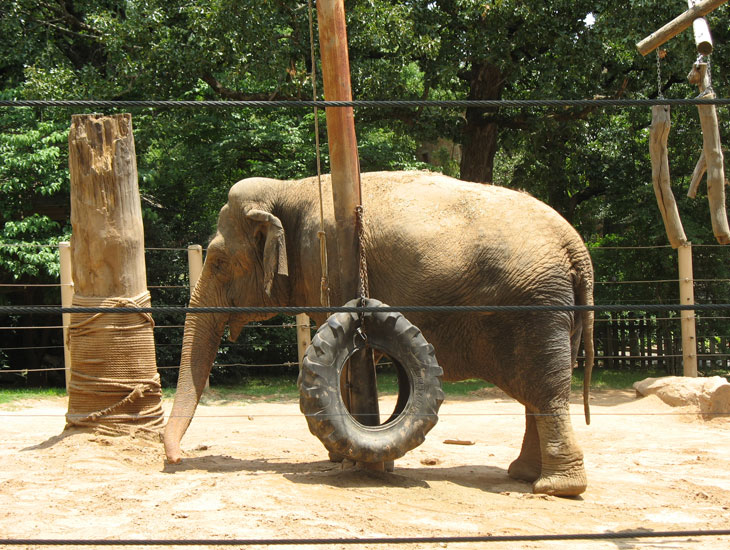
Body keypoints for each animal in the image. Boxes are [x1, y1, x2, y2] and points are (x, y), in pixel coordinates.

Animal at [164, 170, 592, 498]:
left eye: (219, 262)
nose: (175, 459)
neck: (289, 188)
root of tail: (575, 245)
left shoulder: (328, 257)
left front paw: (349, 460)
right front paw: (347, 458)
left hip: (535, 306)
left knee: (544, 389)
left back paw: (554, 488)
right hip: (554, 310)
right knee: (539, 389)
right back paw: (523, 475)